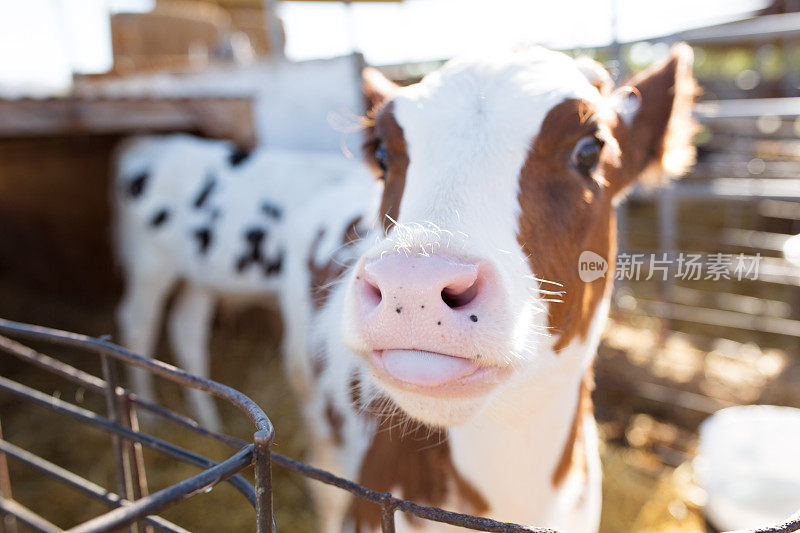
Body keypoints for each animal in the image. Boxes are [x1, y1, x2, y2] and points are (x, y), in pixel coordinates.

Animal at [113, 134, 372, 428]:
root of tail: (146, 144)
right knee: (138, 324)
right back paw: (146, 413)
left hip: (200, 276)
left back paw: (208, 420)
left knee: (186, 330)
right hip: (150, 263)